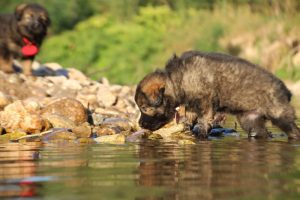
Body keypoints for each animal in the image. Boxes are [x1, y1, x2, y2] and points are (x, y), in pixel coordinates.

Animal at [135, 50, 300, 139]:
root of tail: (286, 90)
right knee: (261, 132)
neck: (176, 79)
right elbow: (190, 114)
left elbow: (204, 117)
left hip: (279, 114)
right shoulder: (192, 103)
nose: (140, 124)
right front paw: (187, 125)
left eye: (144, 108)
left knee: (293, 130)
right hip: (250, 120)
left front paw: (201, 131)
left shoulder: (205, 100)